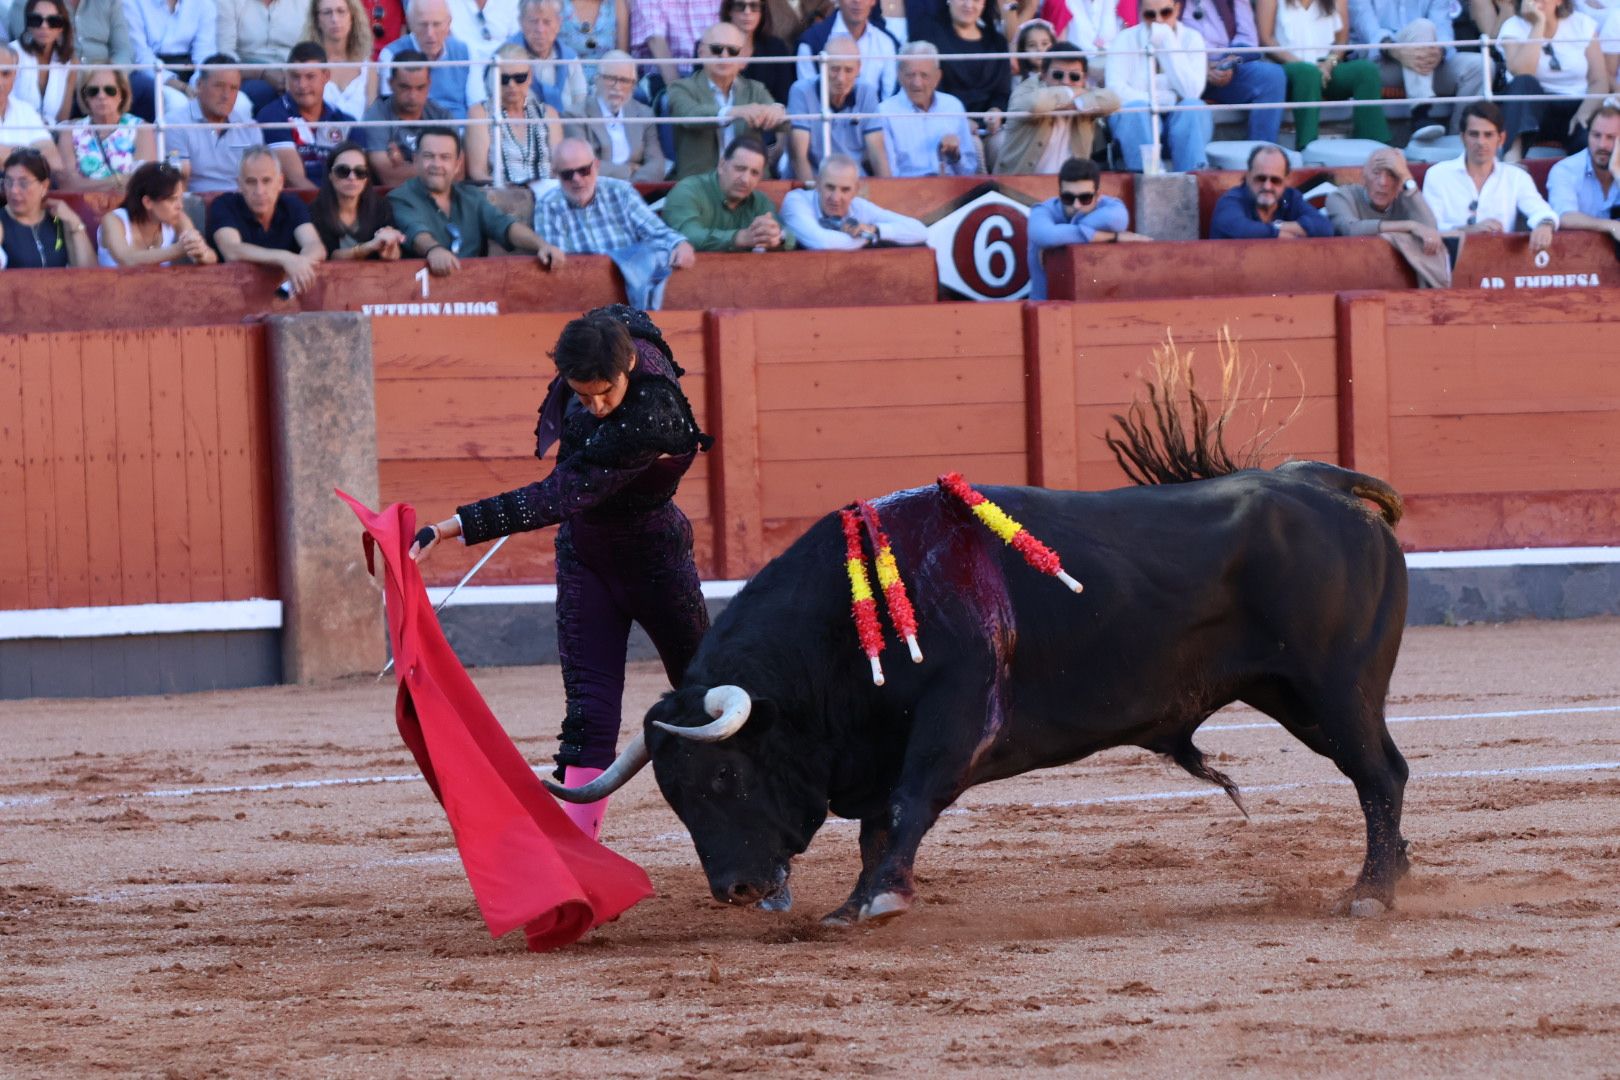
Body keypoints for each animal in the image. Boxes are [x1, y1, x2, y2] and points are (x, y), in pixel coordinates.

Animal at [544, 401, 1406, 926]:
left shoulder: (957, 717)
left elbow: (909, 804)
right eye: (674, 795)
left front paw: (877, 902)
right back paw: (1386, 882)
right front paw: (861, 898)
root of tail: (1323, 484)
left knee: (1379, 773)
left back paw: (1372, 892)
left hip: (1334, 689)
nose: (737, 890)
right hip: (1296, 694)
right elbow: (878, 823)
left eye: (726, 776)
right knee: (1376, 773)